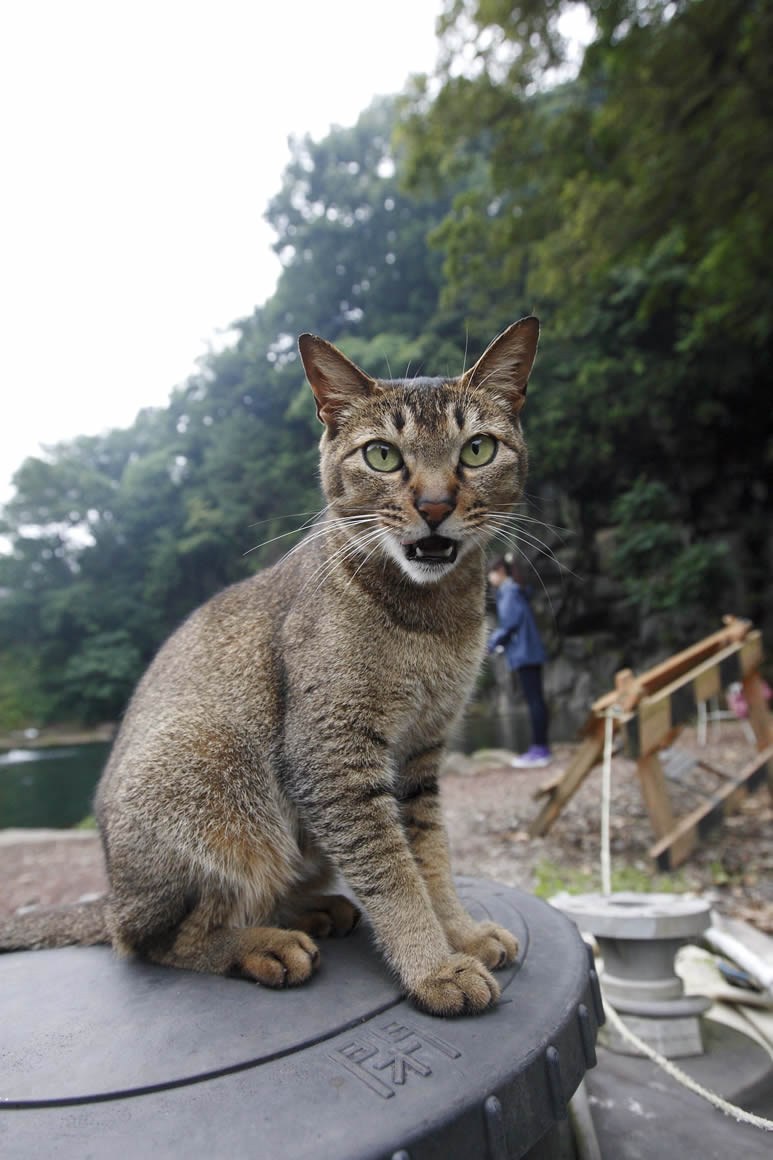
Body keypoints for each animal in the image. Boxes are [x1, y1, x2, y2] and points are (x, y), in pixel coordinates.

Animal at [3, 315, 538, 1016]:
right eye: (382, 455)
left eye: (476, 450)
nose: (434, 505)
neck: (431, 619)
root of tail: (113, 894)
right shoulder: (332, 756)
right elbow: (392, 875)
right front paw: (432, 967)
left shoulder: (422, 756)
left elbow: (431, 858)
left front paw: (461, 934)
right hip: (217, 769)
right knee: (152, 940)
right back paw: (262, 943)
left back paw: (309, 912)